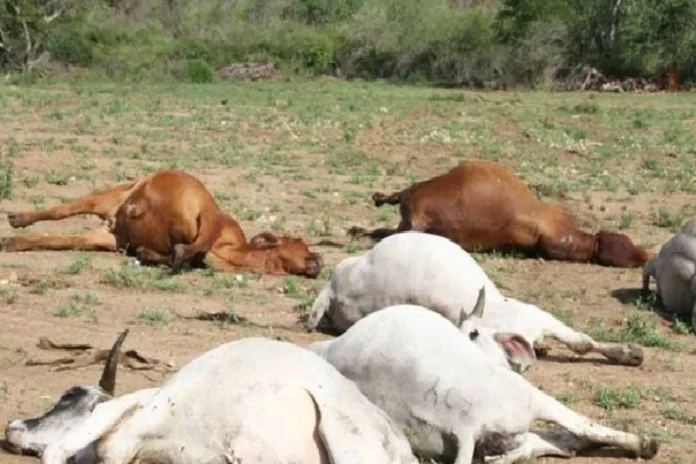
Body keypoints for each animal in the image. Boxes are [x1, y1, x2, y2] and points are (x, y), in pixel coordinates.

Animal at [0, 170, 324, 280]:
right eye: (299, 242)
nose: (319, 259)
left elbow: (181, 254)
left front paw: (154, 255)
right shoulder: (213, 221)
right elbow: (191, 246)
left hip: (107, 235)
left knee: (59, 237)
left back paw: (13, 239)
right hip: (112, 196)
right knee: (63, 209)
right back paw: (19, 220)